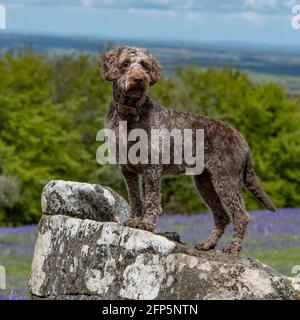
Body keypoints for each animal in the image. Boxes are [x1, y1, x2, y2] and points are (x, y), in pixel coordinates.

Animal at [99, 46, 276, 254]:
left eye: (144, 65)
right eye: (125, 64)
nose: (139, 79)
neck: (130, 112)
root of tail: (242, 140)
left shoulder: (152, 168)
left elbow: (152, 198)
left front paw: (147, 224)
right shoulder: (128, 169)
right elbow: (135, 197)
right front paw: (134, 220)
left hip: (226, 180)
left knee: (240, 215)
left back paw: (233, 247)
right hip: (204, 183)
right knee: (221, 215)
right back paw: (208, 244)